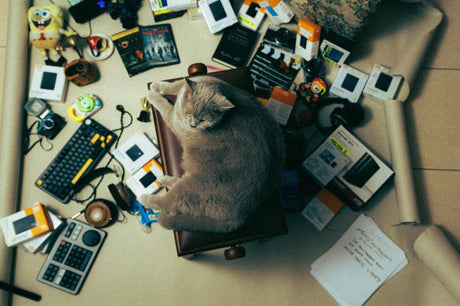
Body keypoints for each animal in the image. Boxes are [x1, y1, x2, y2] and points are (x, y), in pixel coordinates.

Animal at [140, 77, 284, 234]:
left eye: (204, 120)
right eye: (189, 114)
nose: (192, 125)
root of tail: (243, 214)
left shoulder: (175, 120)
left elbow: (165, 107)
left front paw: (151, 95)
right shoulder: (201, 80)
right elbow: (175, 84)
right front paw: (156, 86)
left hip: (194, 188)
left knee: (168, 202)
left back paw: (145, 198)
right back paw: (163, 178)